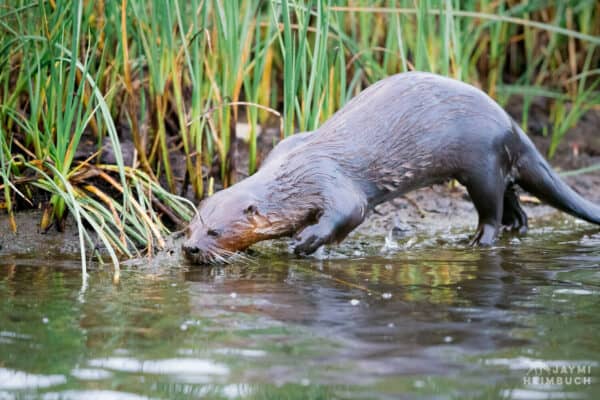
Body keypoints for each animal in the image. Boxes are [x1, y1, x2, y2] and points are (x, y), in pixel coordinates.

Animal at [183, 72, 600, 264]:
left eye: (216, 231)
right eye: (190, 226)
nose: (188, 248)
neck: (295, 174)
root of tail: (511, 122)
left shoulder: (330, 181)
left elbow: (349, 213)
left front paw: (305, 241)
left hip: (481, 163)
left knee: (491, 210)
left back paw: (478, 240)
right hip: (494, 165)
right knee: (513, 196)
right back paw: (518, 226)